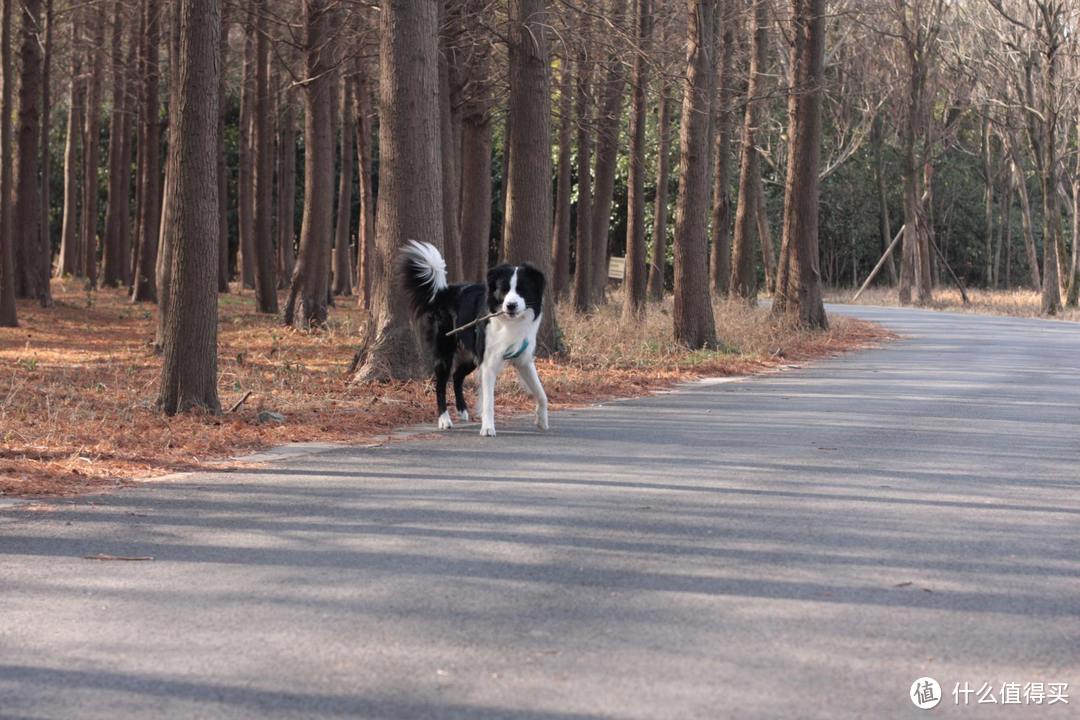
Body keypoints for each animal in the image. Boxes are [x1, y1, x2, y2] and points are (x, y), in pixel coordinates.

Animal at [399, 239, 548, 436]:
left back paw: (462, 410)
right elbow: (489, 400)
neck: (510, 322)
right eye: (504, 290)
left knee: (457, 376)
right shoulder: (489, 362)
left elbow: (541, 392)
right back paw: (444, 420)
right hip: (445, 350)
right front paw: (488, 427)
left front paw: (542, 420)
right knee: (440, 384)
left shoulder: (523, 359)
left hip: (472, 355)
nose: (510, 305)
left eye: (522, 289)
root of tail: (444, 291)